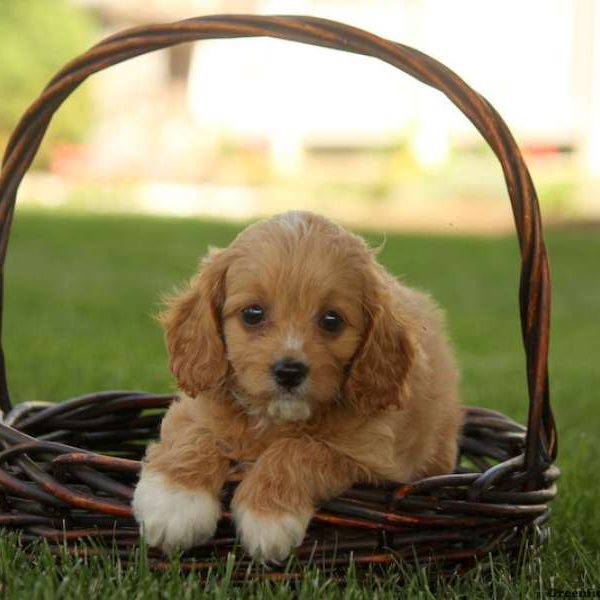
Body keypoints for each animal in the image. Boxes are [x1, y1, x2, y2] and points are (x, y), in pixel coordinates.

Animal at [134, 209, 462, 560]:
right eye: (253, 313)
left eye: (332, 320)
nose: (289, 371)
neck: (275, 419)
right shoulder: (194, 408)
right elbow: (194, 436)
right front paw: (174, 503)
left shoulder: (374, 457)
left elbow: (300, 449)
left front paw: (267, 518)